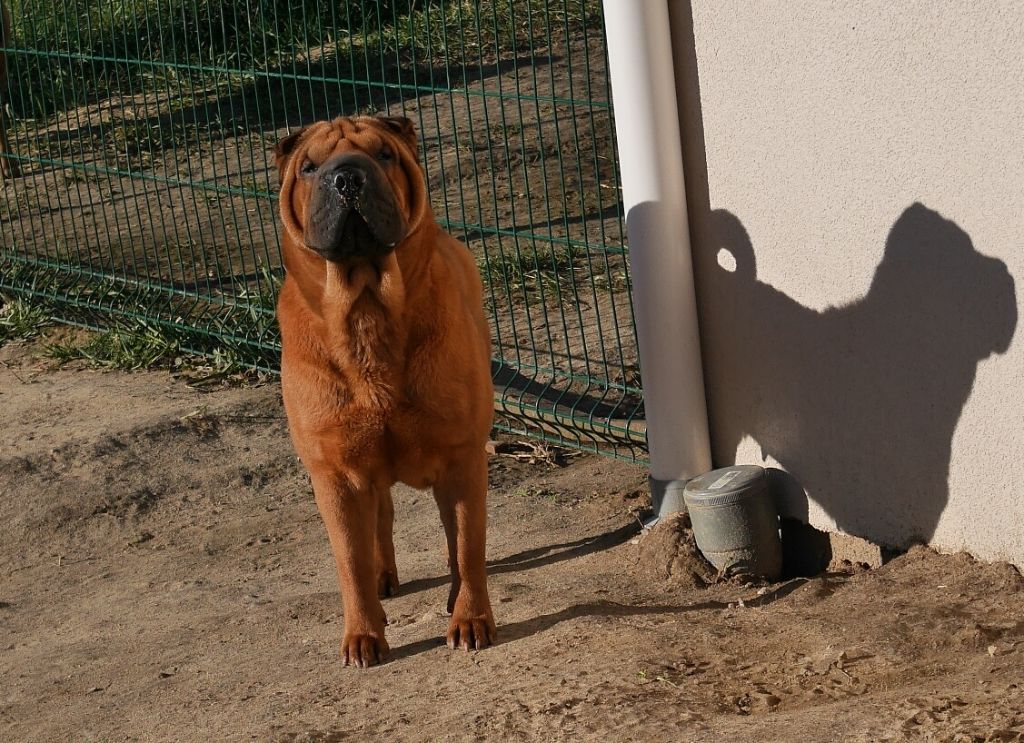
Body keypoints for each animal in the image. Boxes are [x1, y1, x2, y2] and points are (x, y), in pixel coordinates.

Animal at [272, 115, 495, 671]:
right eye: (309, 167)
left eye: (384, 155)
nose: (347, 177)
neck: (368, 309)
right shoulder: (334, 473)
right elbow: (349, 559)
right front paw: (362, 635)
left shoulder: (462, 457)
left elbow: (467, 546)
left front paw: (470, 619)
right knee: (379, 521)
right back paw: (382, 580)